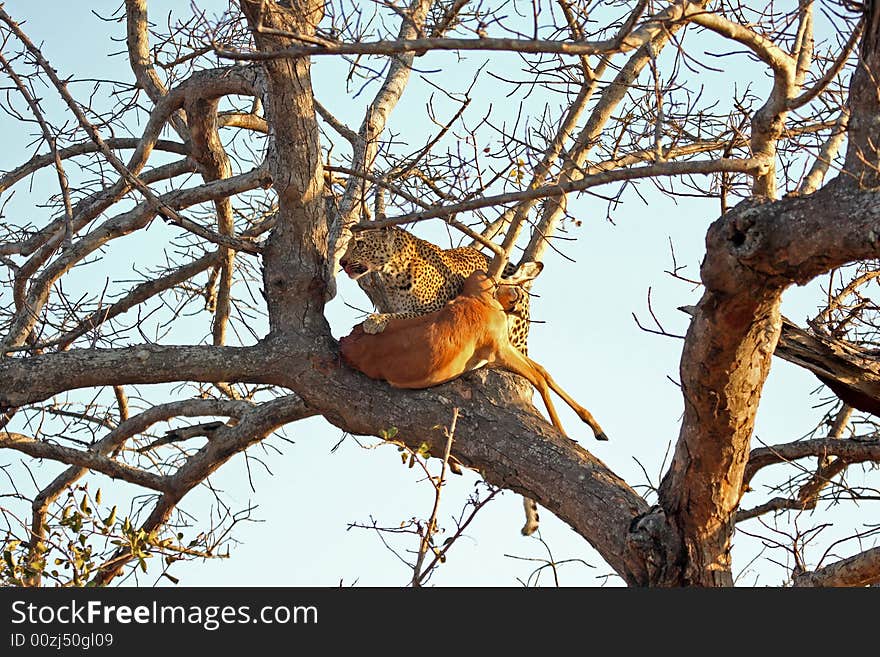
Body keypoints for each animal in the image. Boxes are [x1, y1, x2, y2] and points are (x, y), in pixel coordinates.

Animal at [338, 224, 544, 532]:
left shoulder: (433, 308)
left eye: (360, 244)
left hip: (515, 332)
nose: (340, 262)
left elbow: (403, 313)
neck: (392, 273)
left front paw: (375, 321)